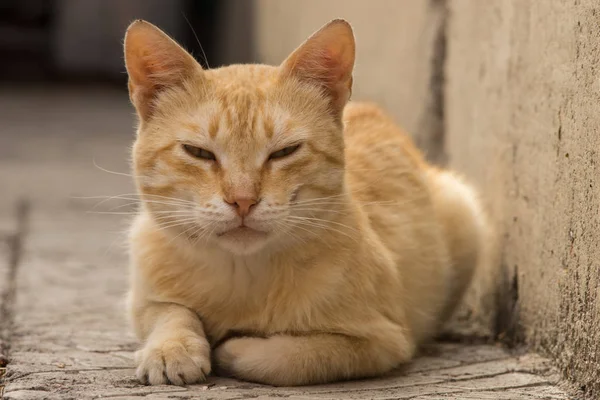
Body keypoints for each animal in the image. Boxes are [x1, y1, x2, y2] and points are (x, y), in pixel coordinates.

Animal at [123, 19, 492, 388]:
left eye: (284, 152)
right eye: (198, 152)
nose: (242, 200)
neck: (242, 273)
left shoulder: (382, 342)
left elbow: (293, 358)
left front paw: (233, 347)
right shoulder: (143, 294)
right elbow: (169, 312)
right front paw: (172, 348)